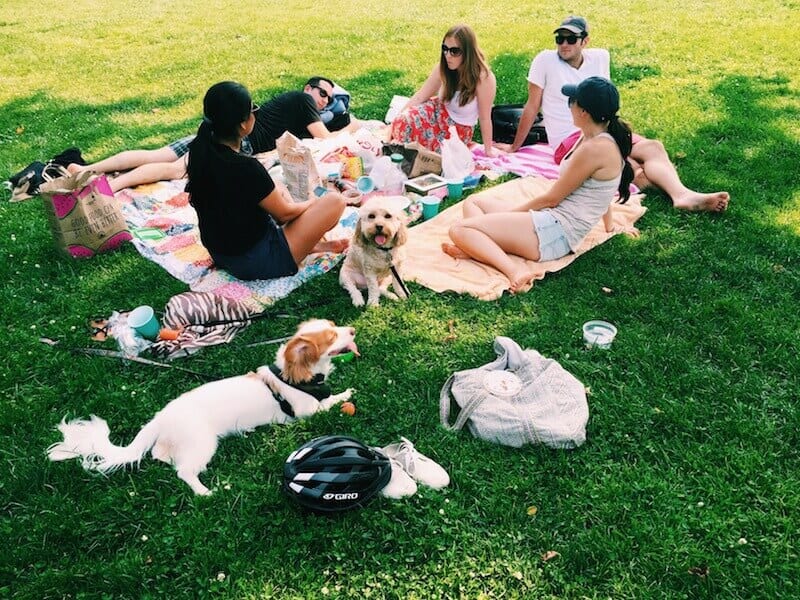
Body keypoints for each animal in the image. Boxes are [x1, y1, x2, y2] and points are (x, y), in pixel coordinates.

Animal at [44, 322, 356, 494]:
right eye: (331, 337)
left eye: (335, 326)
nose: (352, 329)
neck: (291, 375)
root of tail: (160, 418)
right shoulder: (306, 412)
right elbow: (327, 402)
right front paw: (346, 393)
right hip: (202, 444)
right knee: (184, 471)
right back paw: (205, 492)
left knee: (161, 456)